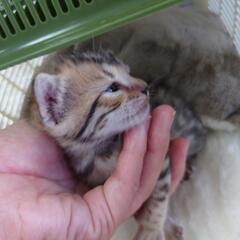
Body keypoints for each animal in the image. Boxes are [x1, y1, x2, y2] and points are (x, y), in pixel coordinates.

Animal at [22, 49, 206, 239]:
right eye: (112, 88)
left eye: (129, 72)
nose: (146, 87)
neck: (104, 149)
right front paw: (160, 227)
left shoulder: (162, 161)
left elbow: (159, 196)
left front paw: (152, 229)